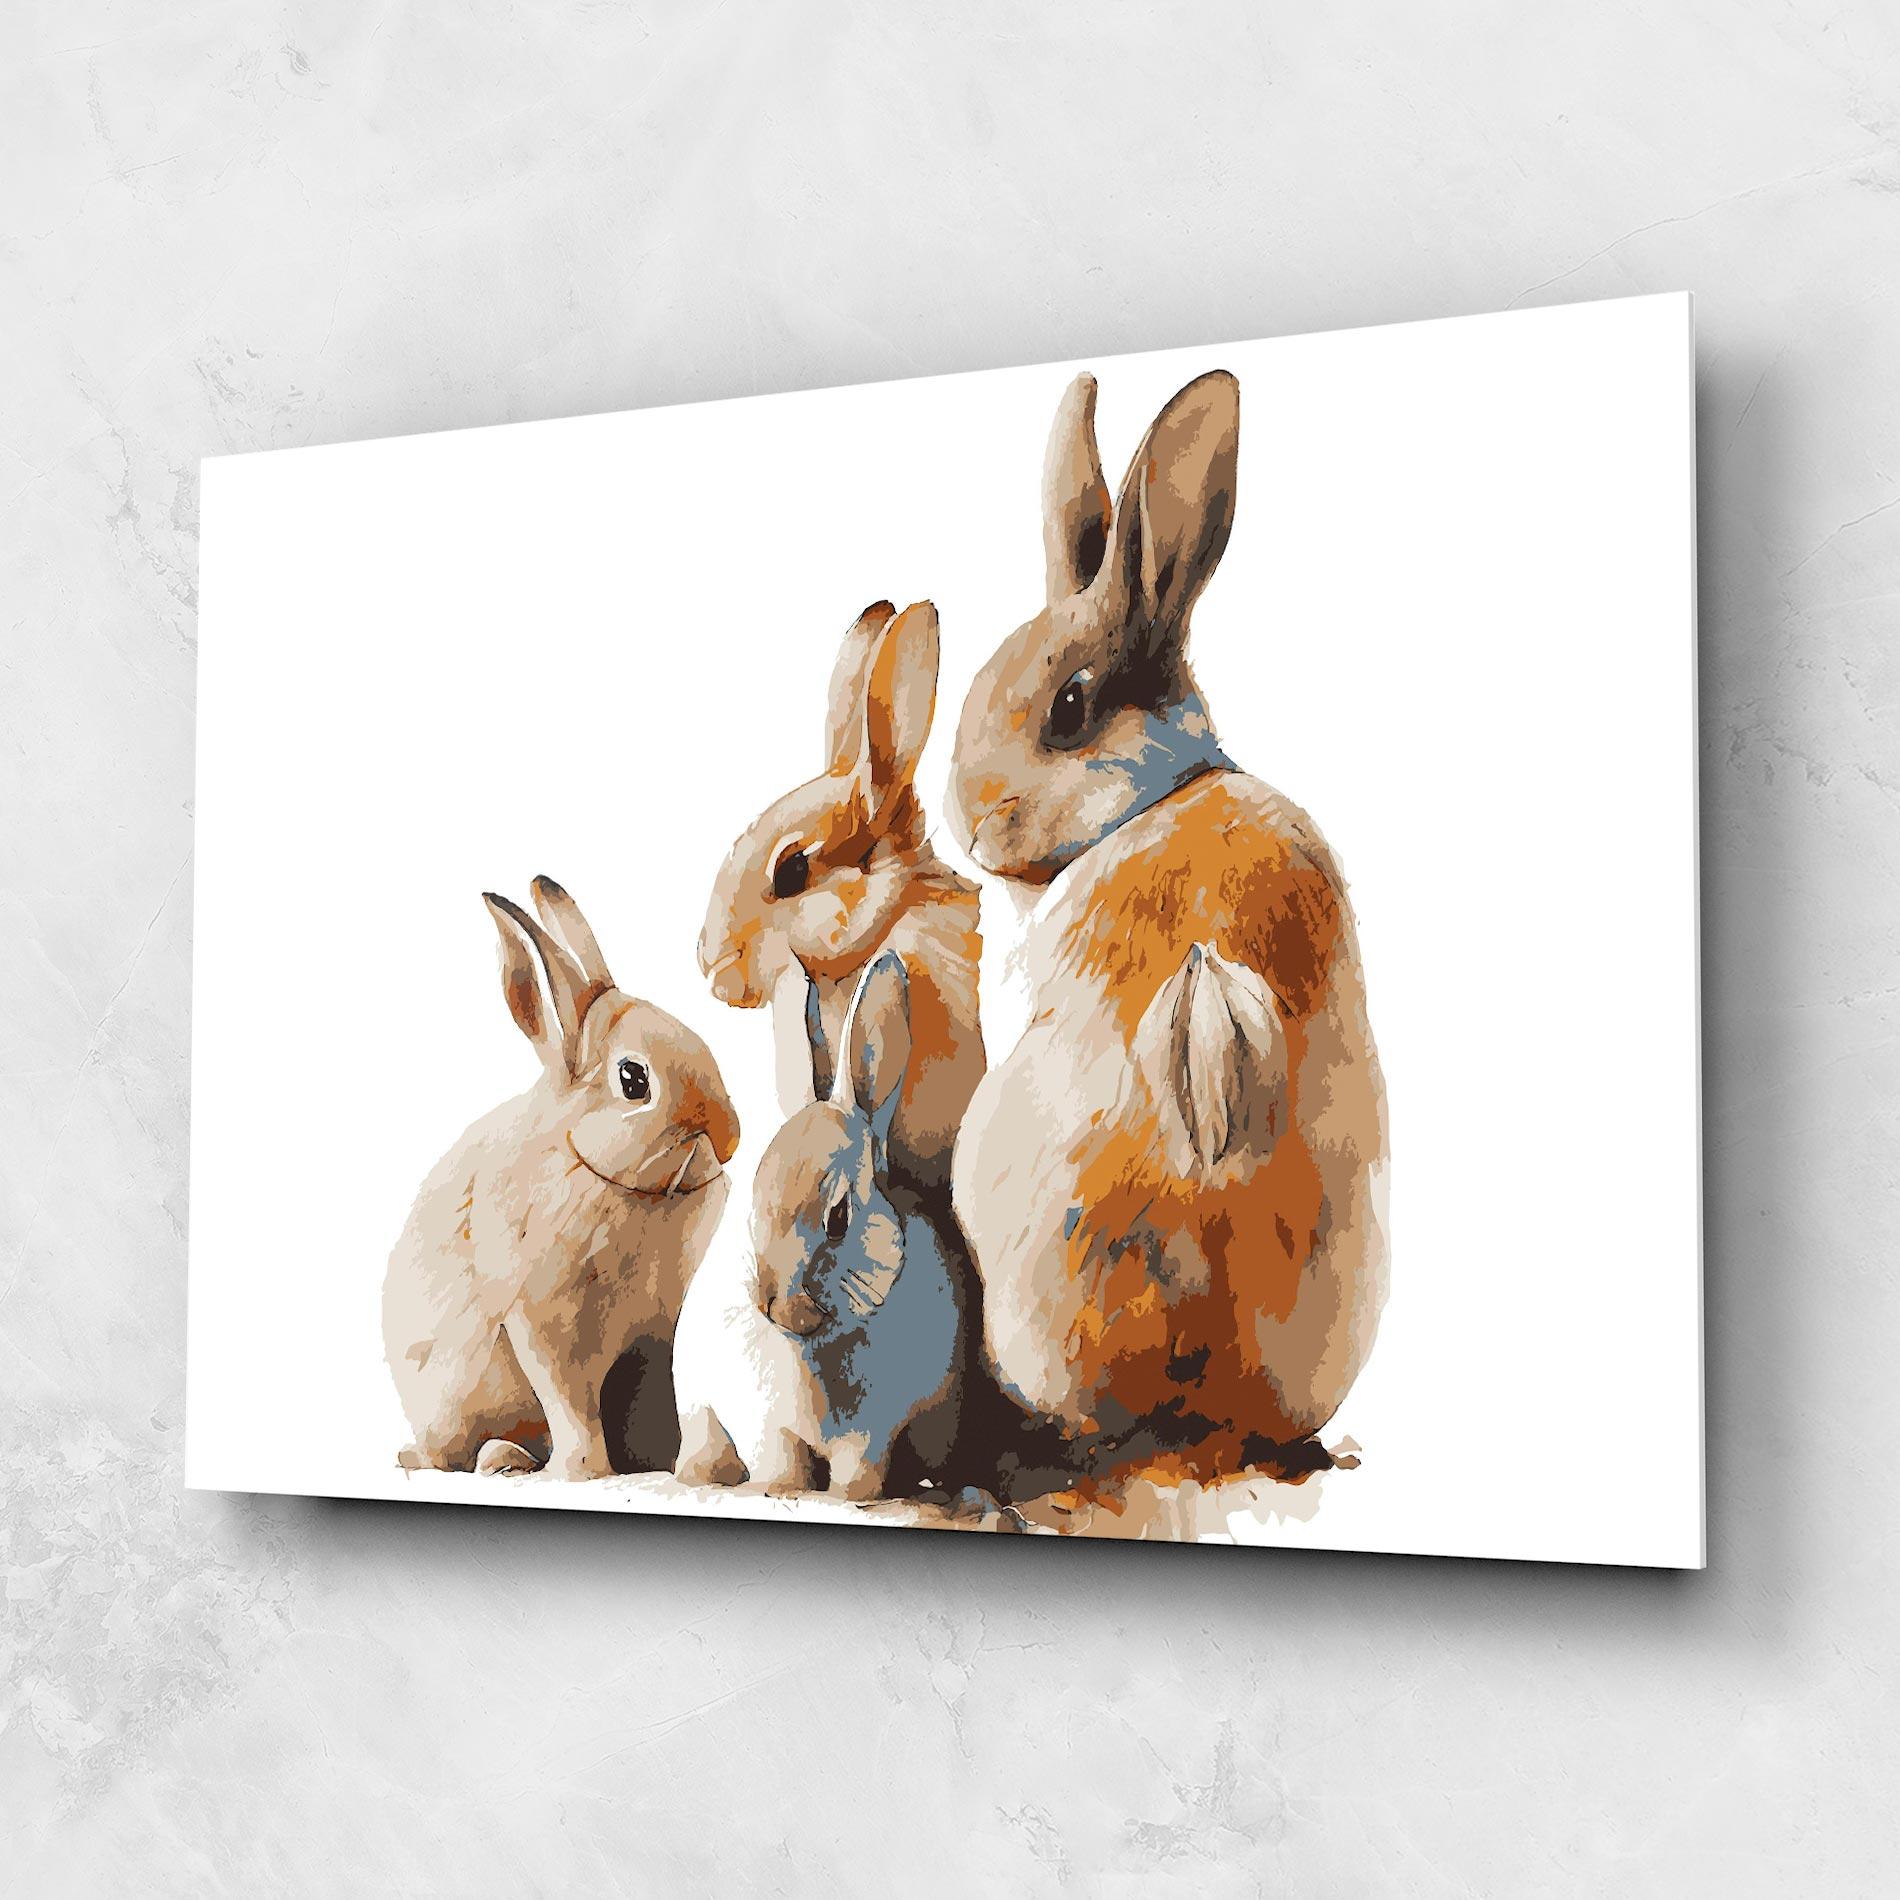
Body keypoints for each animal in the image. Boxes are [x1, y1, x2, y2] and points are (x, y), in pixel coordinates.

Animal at [383, 876, 740, 1481]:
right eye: (633, 1079)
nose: (730, 1134)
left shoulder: (651, 1335)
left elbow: (650, 1402)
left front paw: (660, 1463)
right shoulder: (546, 1326)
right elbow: (570, 1402)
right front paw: (585, 1471)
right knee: (449, 1453)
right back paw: (497, 1460)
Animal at [674, 951, 961, 1500]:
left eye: (839, 1217)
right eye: (753, 1203)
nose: (775, 1303)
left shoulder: (872, 1433)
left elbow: (859, 1470)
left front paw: (849, 1499)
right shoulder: (764, 1423)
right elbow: (780, 1458)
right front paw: (777, 1491)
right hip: (698, 1408)